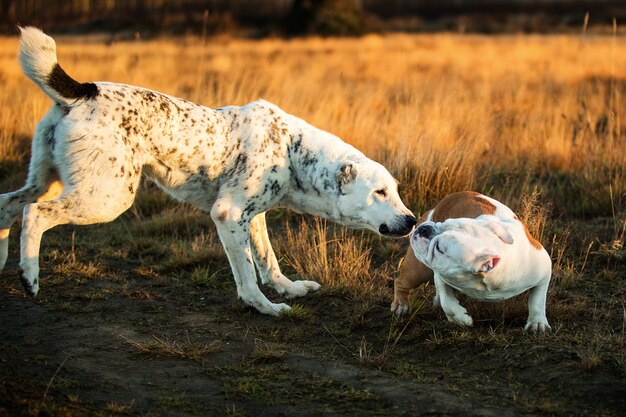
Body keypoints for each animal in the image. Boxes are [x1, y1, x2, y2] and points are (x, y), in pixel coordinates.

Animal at [0, 28, 414, 316]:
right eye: (379, 193)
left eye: (395, 189)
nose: (411, 221)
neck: (291, 149)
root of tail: (84, 91)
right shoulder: (228, 215)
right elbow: (248, 276)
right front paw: (266, 308)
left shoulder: (253, 217)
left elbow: (268, 262)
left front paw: (289, 289)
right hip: (106, 198)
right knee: (34, 213)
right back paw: (29, 277)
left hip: (44, 179)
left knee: (8, 203)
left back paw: (3, 262)